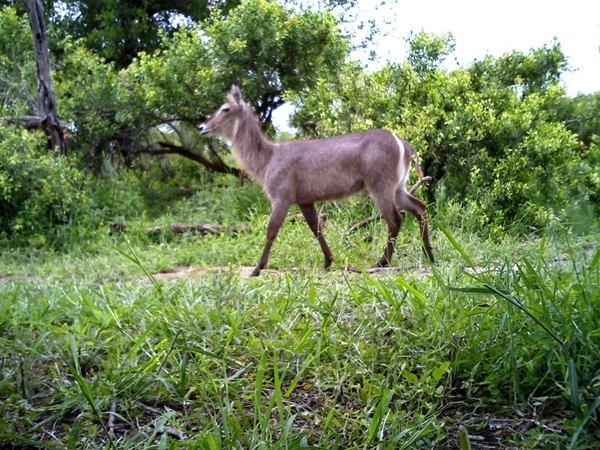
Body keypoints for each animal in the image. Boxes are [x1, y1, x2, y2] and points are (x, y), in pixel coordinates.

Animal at [199, 84, 434, 274]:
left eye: (225, 108)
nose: (202, 127)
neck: (268, 157)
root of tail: (404, 142)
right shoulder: (304, 200)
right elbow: (316, 228)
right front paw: (328, 261)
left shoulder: (282, 197)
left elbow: (271, 230)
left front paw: (257, 268)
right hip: (398, 187)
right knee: (420, 208)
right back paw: (430, 256)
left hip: (380, 186)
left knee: (395, 220)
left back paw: (381, 262)